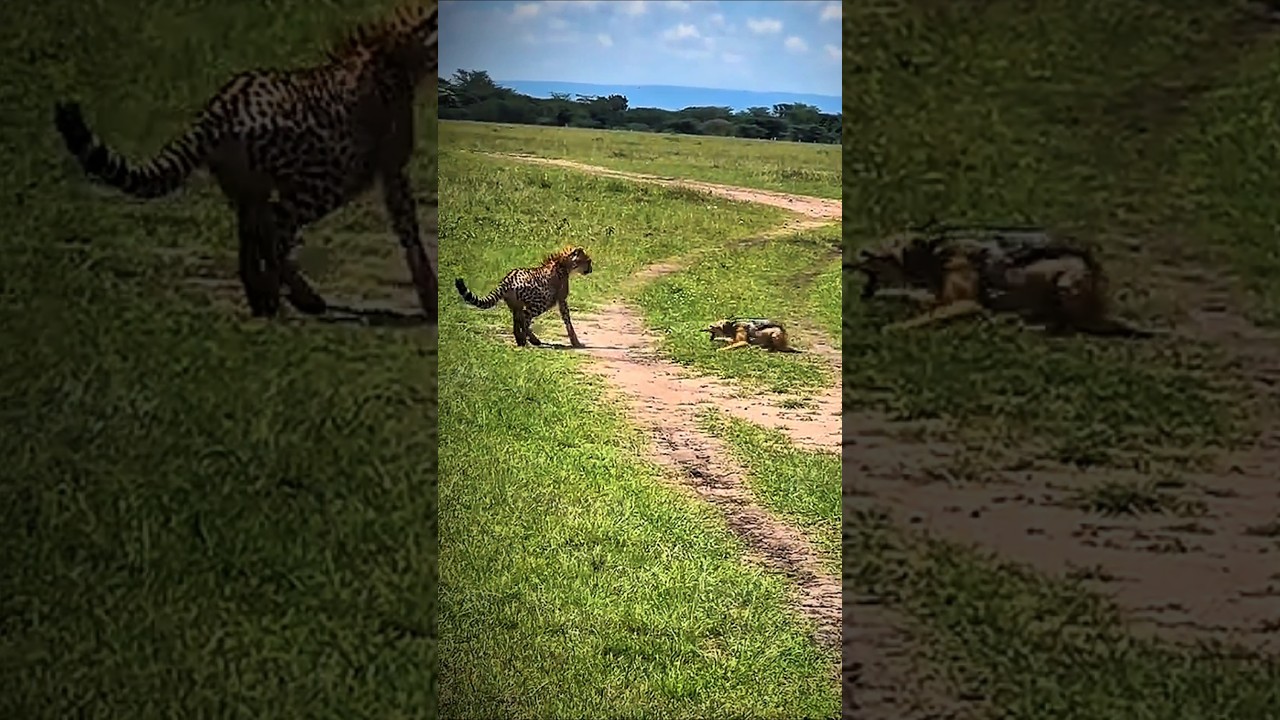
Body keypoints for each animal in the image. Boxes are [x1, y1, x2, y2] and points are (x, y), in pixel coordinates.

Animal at [52, 3, 439, 324]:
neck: (400, 48)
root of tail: (220, 104)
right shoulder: (387, 168)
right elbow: (408, 228)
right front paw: (430, 297)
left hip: (250, 184)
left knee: (254, 230)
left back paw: (263, 296)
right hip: (330, 178)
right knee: (275, 227)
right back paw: (293, 298)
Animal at [455, 245, 594, 348]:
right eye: (588, 261)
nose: (591, 270)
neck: (563, 263)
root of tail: (507, 279)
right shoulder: (561, 300)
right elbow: (567, 320)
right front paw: (576, 342)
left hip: (517, 305)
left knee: (518, 320)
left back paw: (522, 340)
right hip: (543, 302)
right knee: (525, 318)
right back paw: (529, 340)